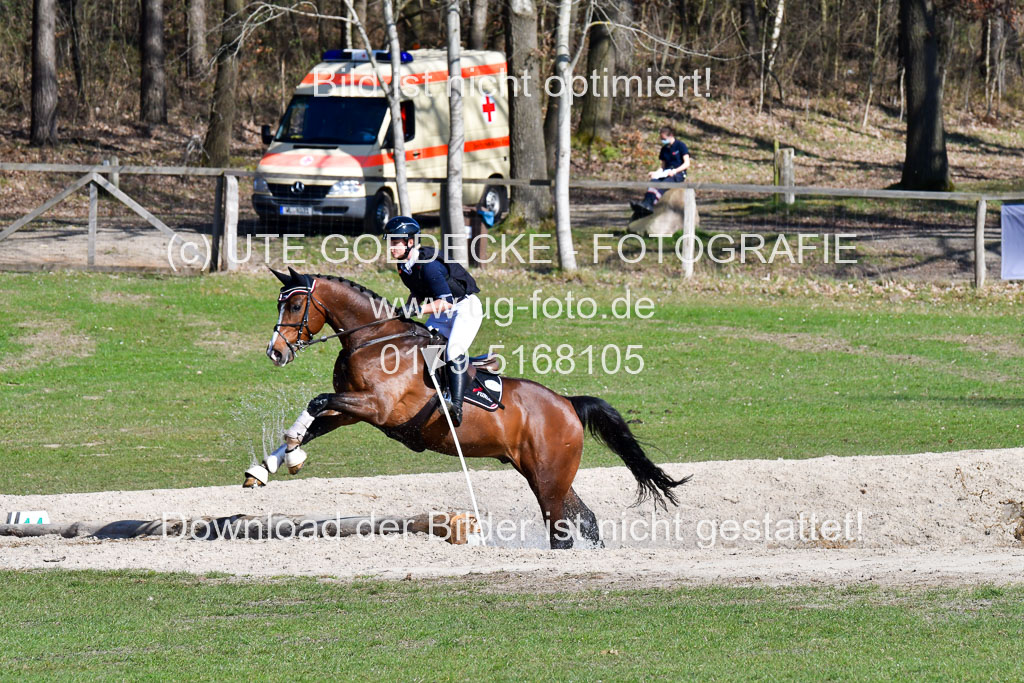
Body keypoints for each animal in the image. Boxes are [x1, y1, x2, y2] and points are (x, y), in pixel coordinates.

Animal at [251, 266, 692, 548]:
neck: (373, 339)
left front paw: (288, 455)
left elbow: (316, 402)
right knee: (586, 521)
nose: (275, 353)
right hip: (548, 475)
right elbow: (315, 419)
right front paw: (269, 466)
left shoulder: (376, 407)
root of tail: (567, 404)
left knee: (562, 529)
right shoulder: (352, 411)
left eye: (294, 307)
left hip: (548, 478)